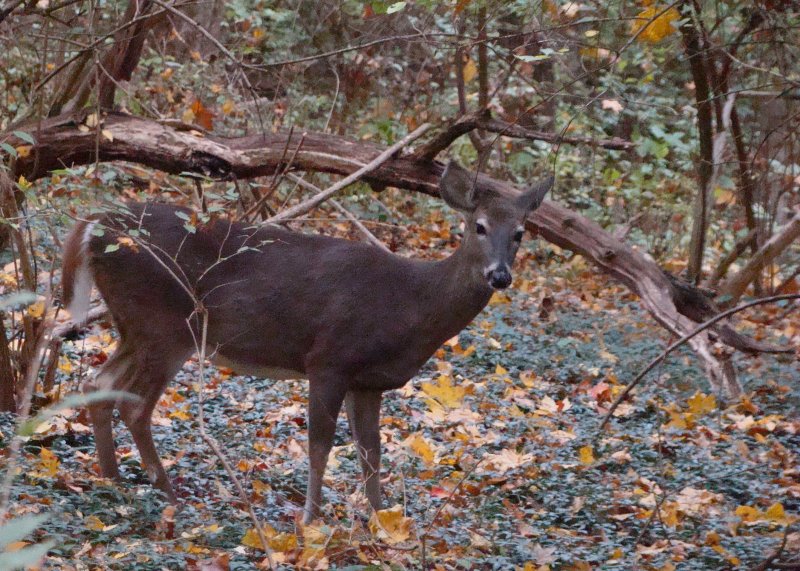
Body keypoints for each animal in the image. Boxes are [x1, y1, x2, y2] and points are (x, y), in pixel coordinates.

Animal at [62, 160, 552, 524]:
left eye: (520, 233)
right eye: (479, 226)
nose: (500, 275)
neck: (409, 305)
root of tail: (95, 225)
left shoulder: (368, 381)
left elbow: (371, 451)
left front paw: (382, 521)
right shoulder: (329, 358)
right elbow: (320, 446)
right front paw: (311, 519)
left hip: (134, 324)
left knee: (97, 382)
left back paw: (113, 480)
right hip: (165, 324)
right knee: (134, 405)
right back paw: (167, 492)